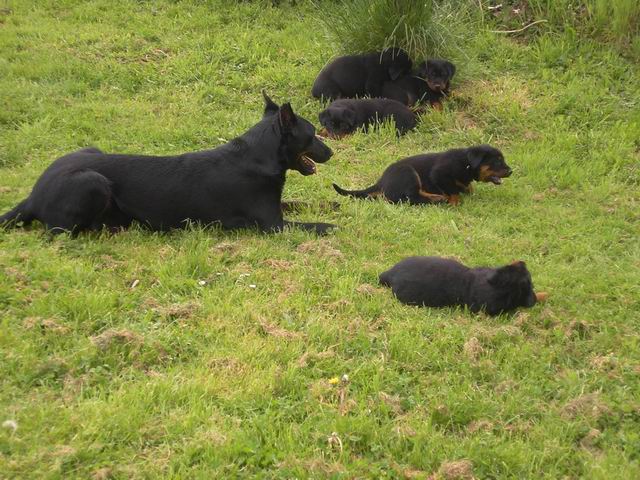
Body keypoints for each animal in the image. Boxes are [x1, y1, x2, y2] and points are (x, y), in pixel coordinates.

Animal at [0, 92, 335, 236]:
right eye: (312, 136)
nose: (331, 152)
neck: (258, 155)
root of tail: (31, 196)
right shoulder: (272, 225)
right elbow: (315, 225)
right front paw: (332, 225)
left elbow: (300, 203)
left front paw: (330, 205)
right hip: (91, 181)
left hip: (90, 152)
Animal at [333, 145, 511, 205]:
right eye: (497, 162)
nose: (511, 171)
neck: (466, 163)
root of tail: (381, 181)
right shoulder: (439, 174)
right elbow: (453, 191)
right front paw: (455, 202)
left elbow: (468, 187)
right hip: (409, 173)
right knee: (410, 198)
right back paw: (437, 200)